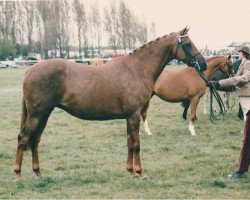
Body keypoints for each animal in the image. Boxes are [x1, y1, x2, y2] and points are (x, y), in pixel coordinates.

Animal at [13, 27, 207, 180]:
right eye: (188, 44)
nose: (203, 64)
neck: (137, 69)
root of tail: (30, 69)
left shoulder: (129, 117)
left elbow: (129, 142)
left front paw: (131, 171)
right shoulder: (134, 115)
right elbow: (136, 144)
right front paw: (141, 172)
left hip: (43, 114)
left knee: (35, 140)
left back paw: (38, 173)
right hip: (37, 114)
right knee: (23, 138)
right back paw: (18, 174)